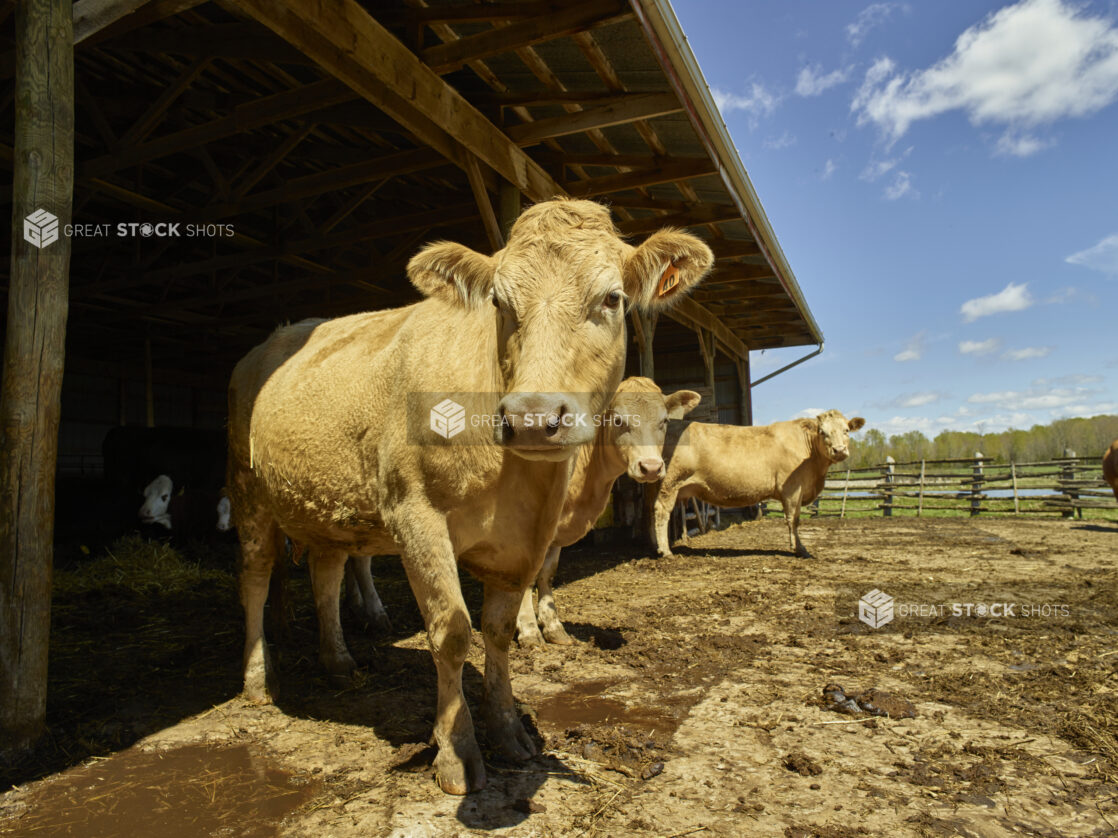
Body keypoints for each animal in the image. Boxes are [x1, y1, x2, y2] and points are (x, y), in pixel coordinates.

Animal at [516, 377, 697, 648]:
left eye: (664, 421)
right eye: (619, 420)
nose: (651, 468)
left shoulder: (557, 526)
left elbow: (547, 573)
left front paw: (553, 627)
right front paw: (528, 630)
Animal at [652, 411, 863, 560]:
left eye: (846, 430)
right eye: (822, 432)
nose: (839, 450)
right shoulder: (792, 489)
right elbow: (793, 520)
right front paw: (799, 549)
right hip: (670, 483)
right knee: (661, 512)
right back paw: (666, 551)